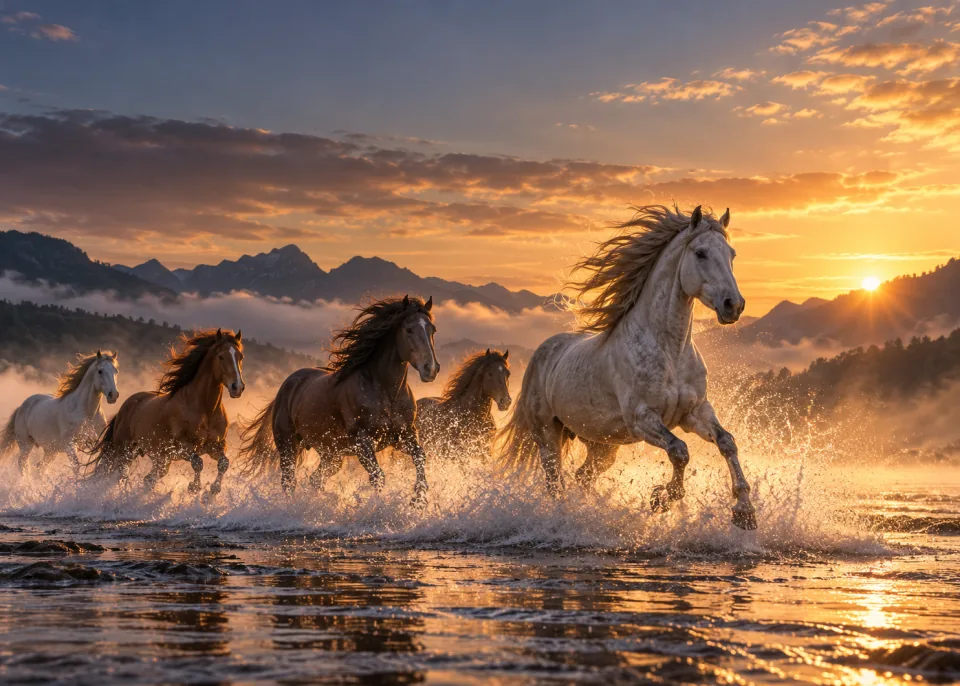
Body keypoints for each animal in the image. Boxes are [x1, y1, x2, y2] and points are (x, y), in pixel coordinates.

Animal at [87, 329, 244, 497]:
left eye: (240, 357)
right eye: (221, 356)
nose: (237, 387)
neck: (205, 410)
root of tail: (126, 405)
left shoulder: (216, 445)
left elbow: (224, 463)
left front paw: (212, 492)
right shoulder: (182, 446)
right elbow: (198, 463)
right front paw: (194, 487)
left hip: (159, 459)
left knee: (148, 479)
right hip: (123, 450)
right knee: (116, 474)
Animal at [238, 295, 439, 503]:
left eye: (432, 329)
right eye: (408, 329)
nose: (430, 368)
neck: (385, 393)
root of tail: (285, 387)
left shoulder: (404, 435)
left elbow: (420, 456)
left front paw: (419, 500)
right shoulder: (363, 442)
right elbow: (378, 477)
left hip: (332, 455)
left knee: (315, 479)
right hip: (288, 446)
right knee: (289, 481)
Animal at [500, 205, 757, 530]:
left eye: (731, 254)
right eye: (700, 253)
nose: (733, 305)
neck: (670, 352)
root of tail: (540, 355)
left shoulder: (695, 411)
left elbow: (727, 442)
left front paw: (745, 511)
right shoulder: (642, 418)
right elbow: (679, 451)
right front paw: (661, 497)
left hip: (602, 445)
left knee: (583, 476)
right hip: (547, 435)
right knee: (555, 482)